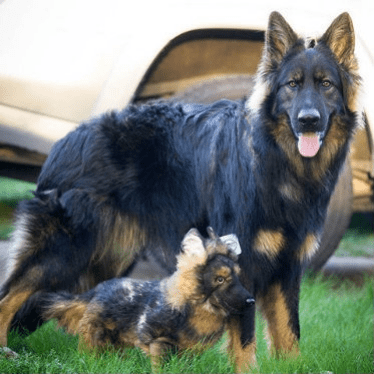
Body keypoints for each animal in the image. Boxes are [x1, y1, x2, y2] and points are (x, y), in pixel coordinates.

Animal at [39, 228, 253, 368]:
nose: (251, 301)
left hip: (115, 343)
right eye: (220, 279)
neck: (191, 310)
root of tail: (98, 289)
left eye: (237, 277)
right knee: (90, 357)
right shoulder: (159, 343)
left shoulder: (188, 353)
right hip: (94, 340)